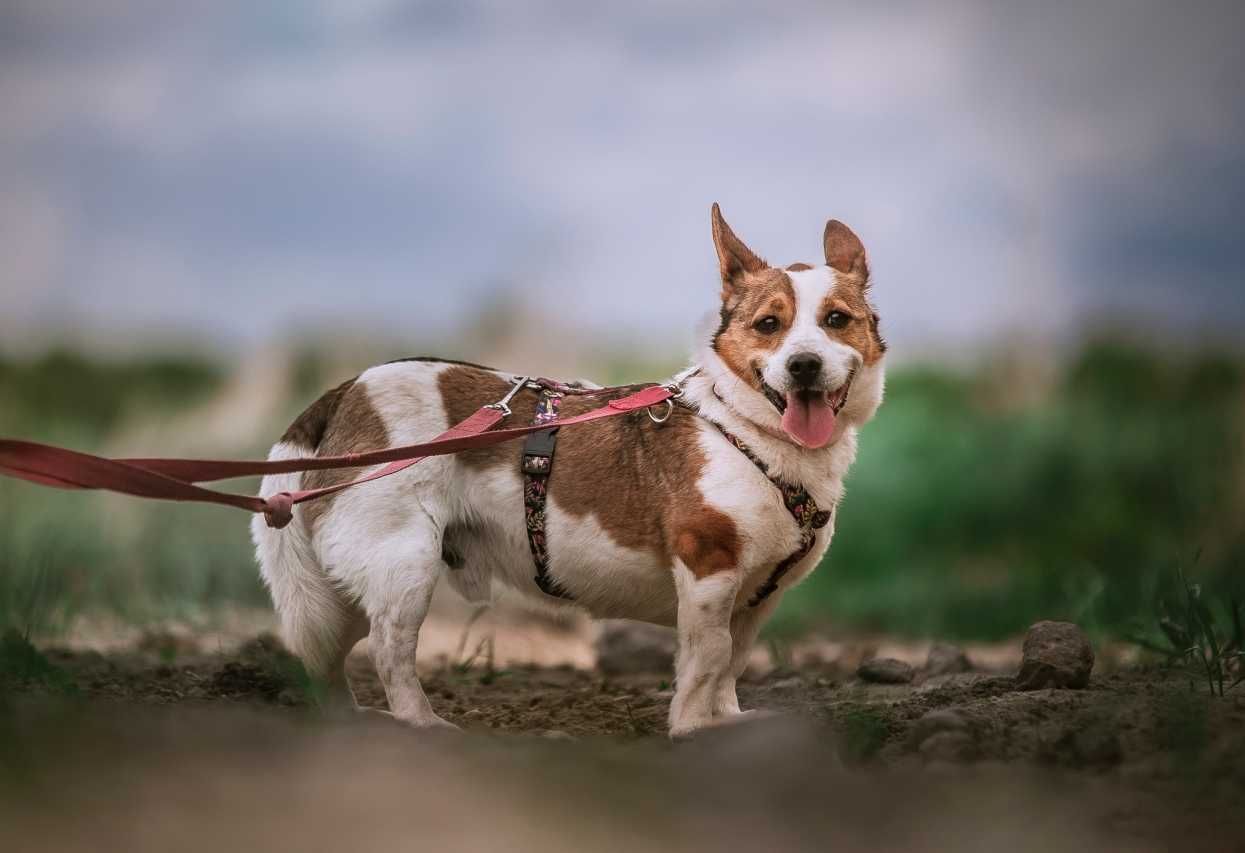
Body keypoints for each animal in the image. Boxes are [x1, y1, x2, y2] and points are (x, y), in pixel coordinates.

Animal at [250, 202, 886, 737]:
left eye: (836, 319)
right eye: (768, 326)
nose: (804, 366)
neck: (747, 431)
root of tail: (344, 393)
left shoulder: (756, 597)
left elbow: (731, 664)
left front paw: (727, 721)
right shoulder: (708, 573)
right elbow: (705, 664)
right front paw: (691, 731)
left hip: (347, 588)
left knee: (332, 660)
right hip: (401, 564)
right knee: (389, 652)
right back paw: (422, 725)